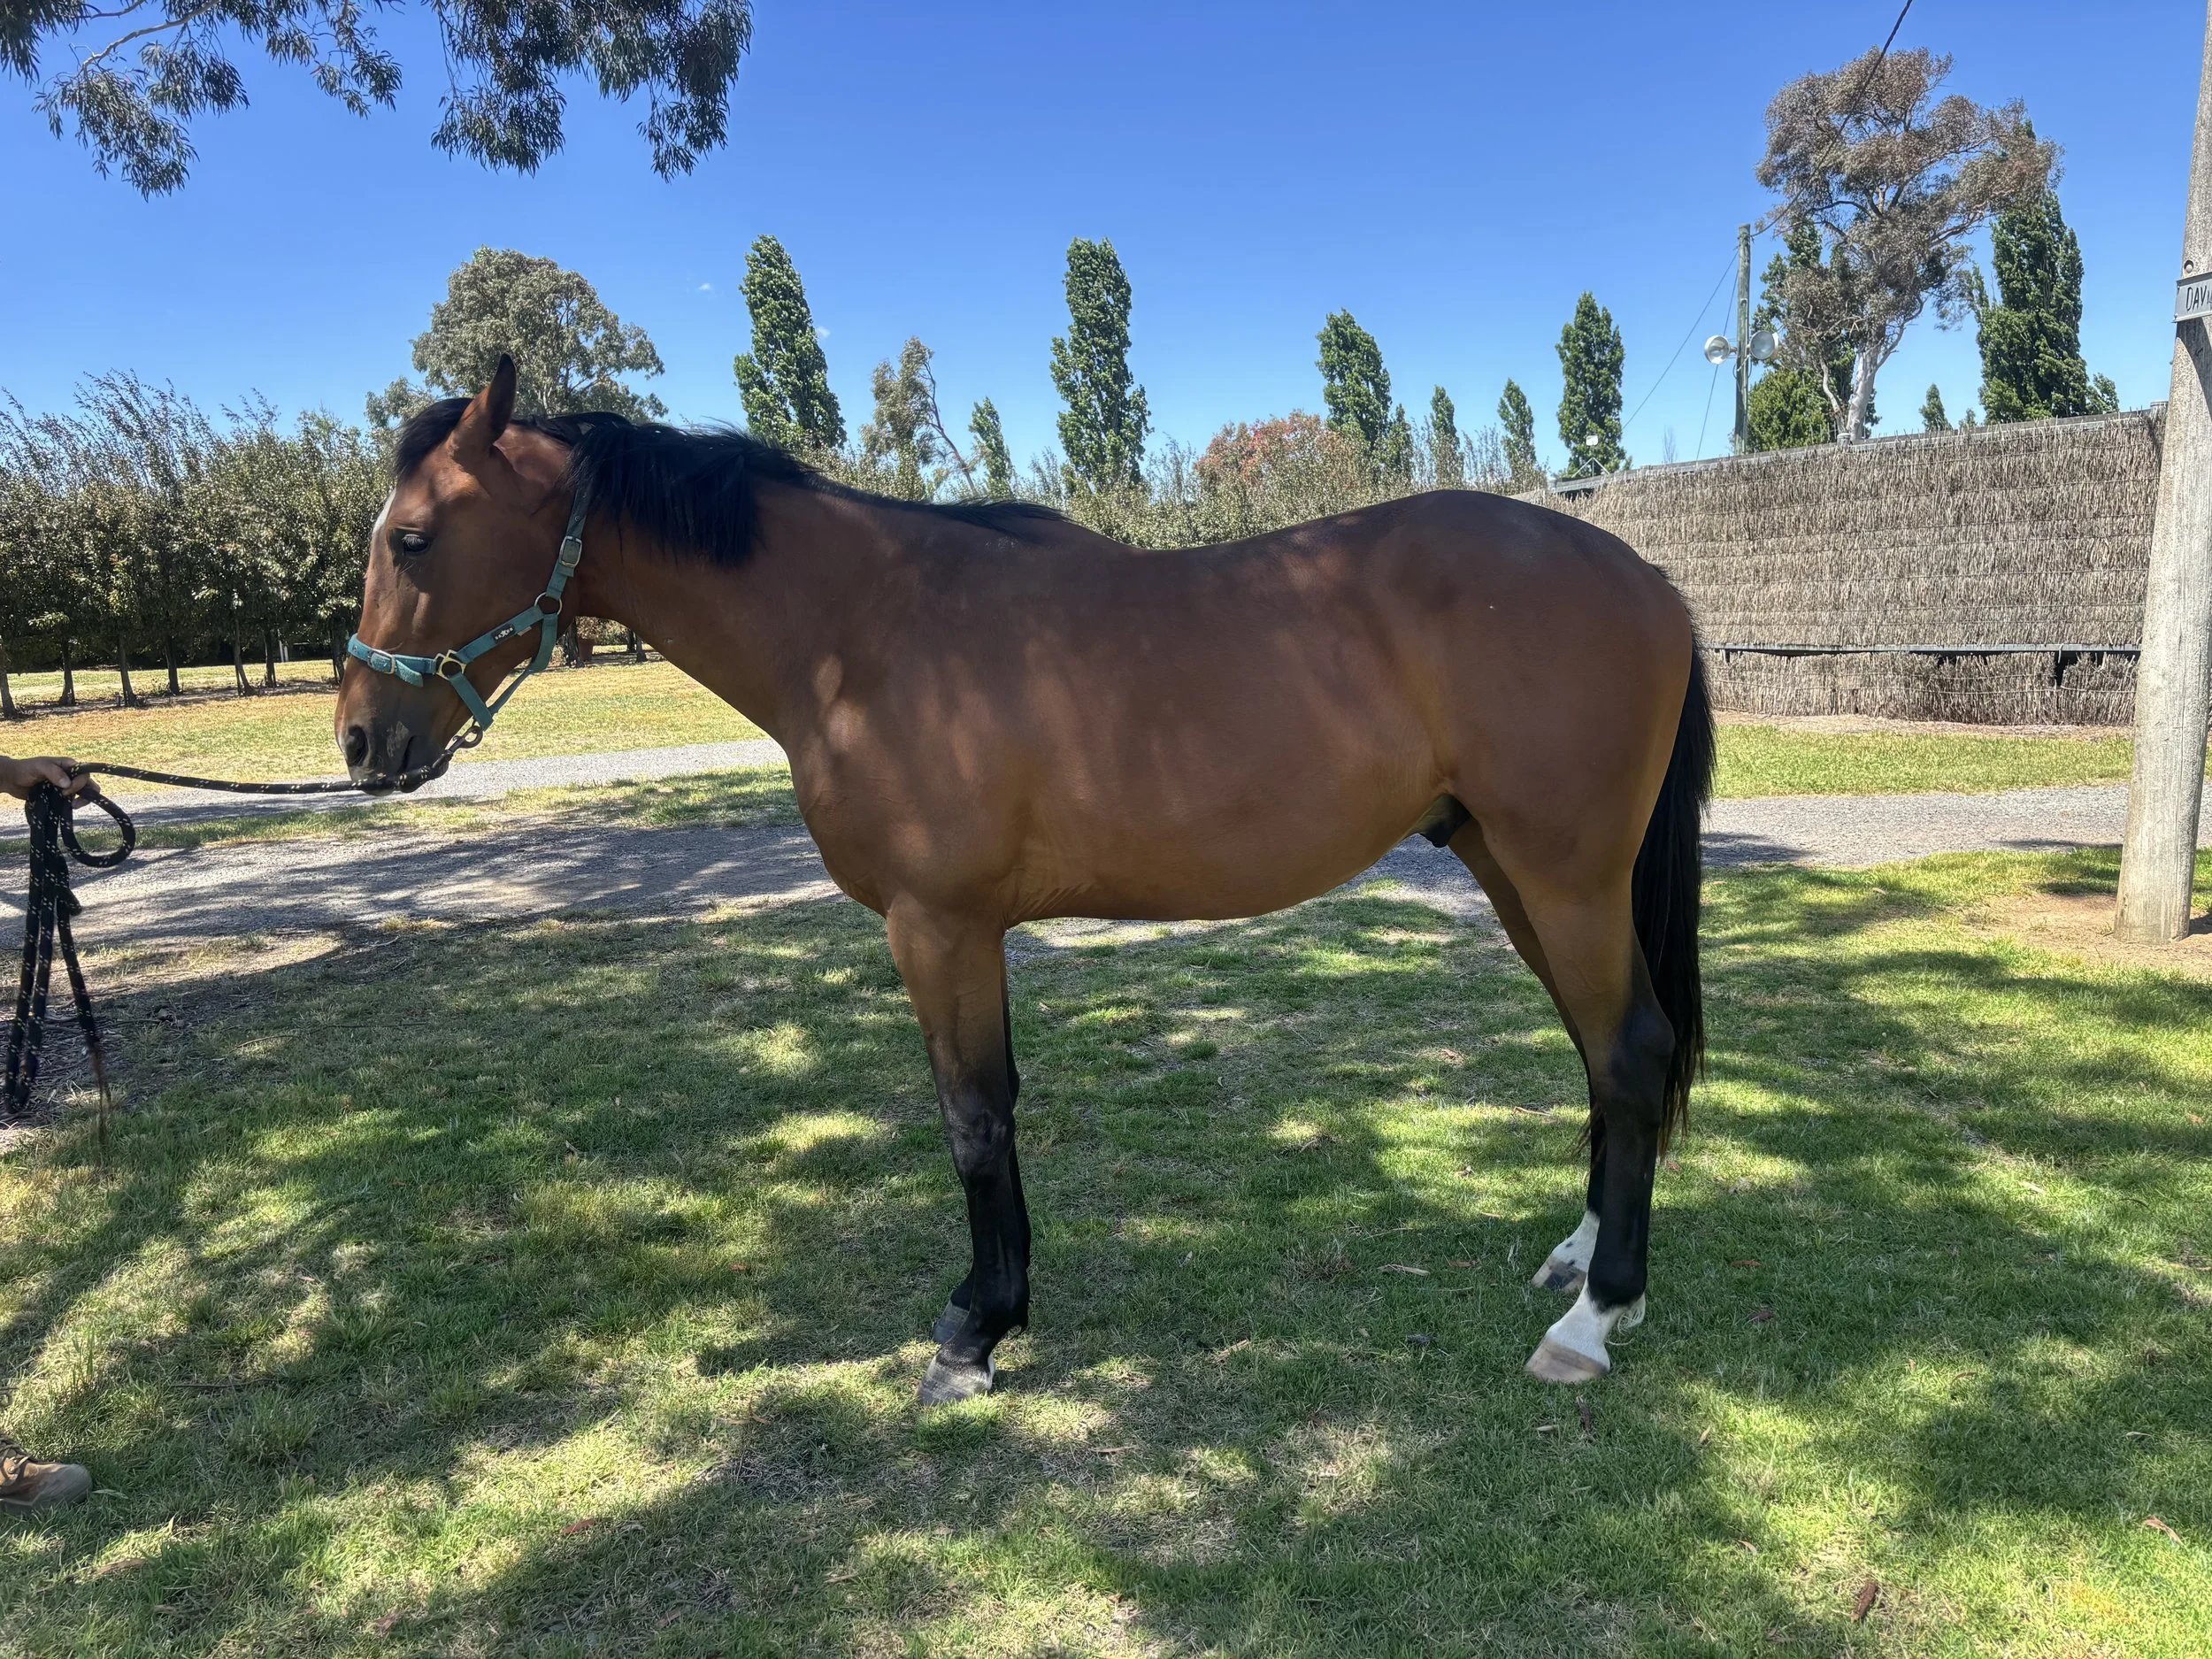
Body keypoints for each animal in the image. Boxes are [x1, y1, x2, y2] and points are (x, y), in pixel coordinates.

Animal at [337, 358, 1713, 1405]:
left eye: (413, 538)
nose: (360, 742)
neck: (863, 629)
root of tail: (1645, 578)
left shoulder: (938, 927)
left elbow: (974, 1118)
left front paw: (974, 1333)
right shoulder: (960, 932)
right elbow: (988, 1108)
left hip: (1565, 876)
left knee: (1630, 1052)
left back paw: (1595, 1318)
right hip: (1510, 867)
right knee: (1602, 1056)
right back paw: (1579, 1262)